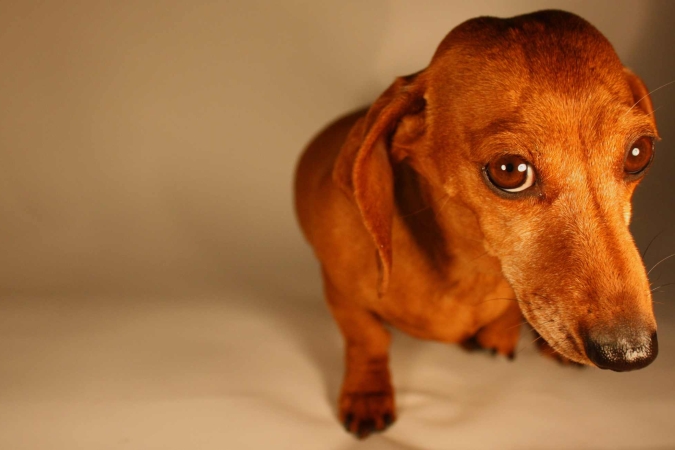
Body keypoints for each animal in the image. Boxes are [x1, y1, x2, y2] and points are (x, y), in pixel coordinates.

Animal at [294, 9, 656, 440]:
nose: (630, 352)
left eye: (639, 152)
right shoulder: (339, 290)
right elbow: (368, 338)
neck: (469, 273)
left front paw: (499, 335)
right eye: (509, 170)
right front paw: (368, 393)